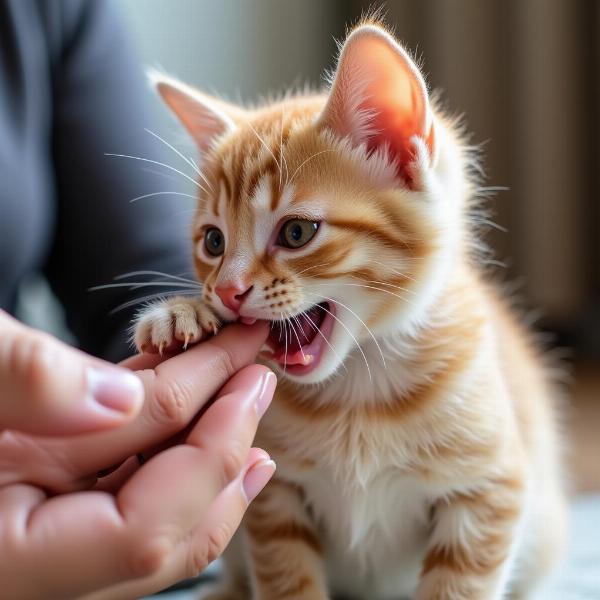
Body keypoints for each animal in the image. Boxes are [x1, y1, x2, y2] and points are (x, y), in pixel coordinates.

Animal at [135, 18, 568, 600]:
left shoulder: (488, 491)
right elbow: (286, 579)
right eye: (213, 242)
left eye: (297, 233)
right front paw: (181, 315)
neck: (355, 398)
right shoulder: (274, 496)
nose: (226, 293)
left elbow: (460, 583)